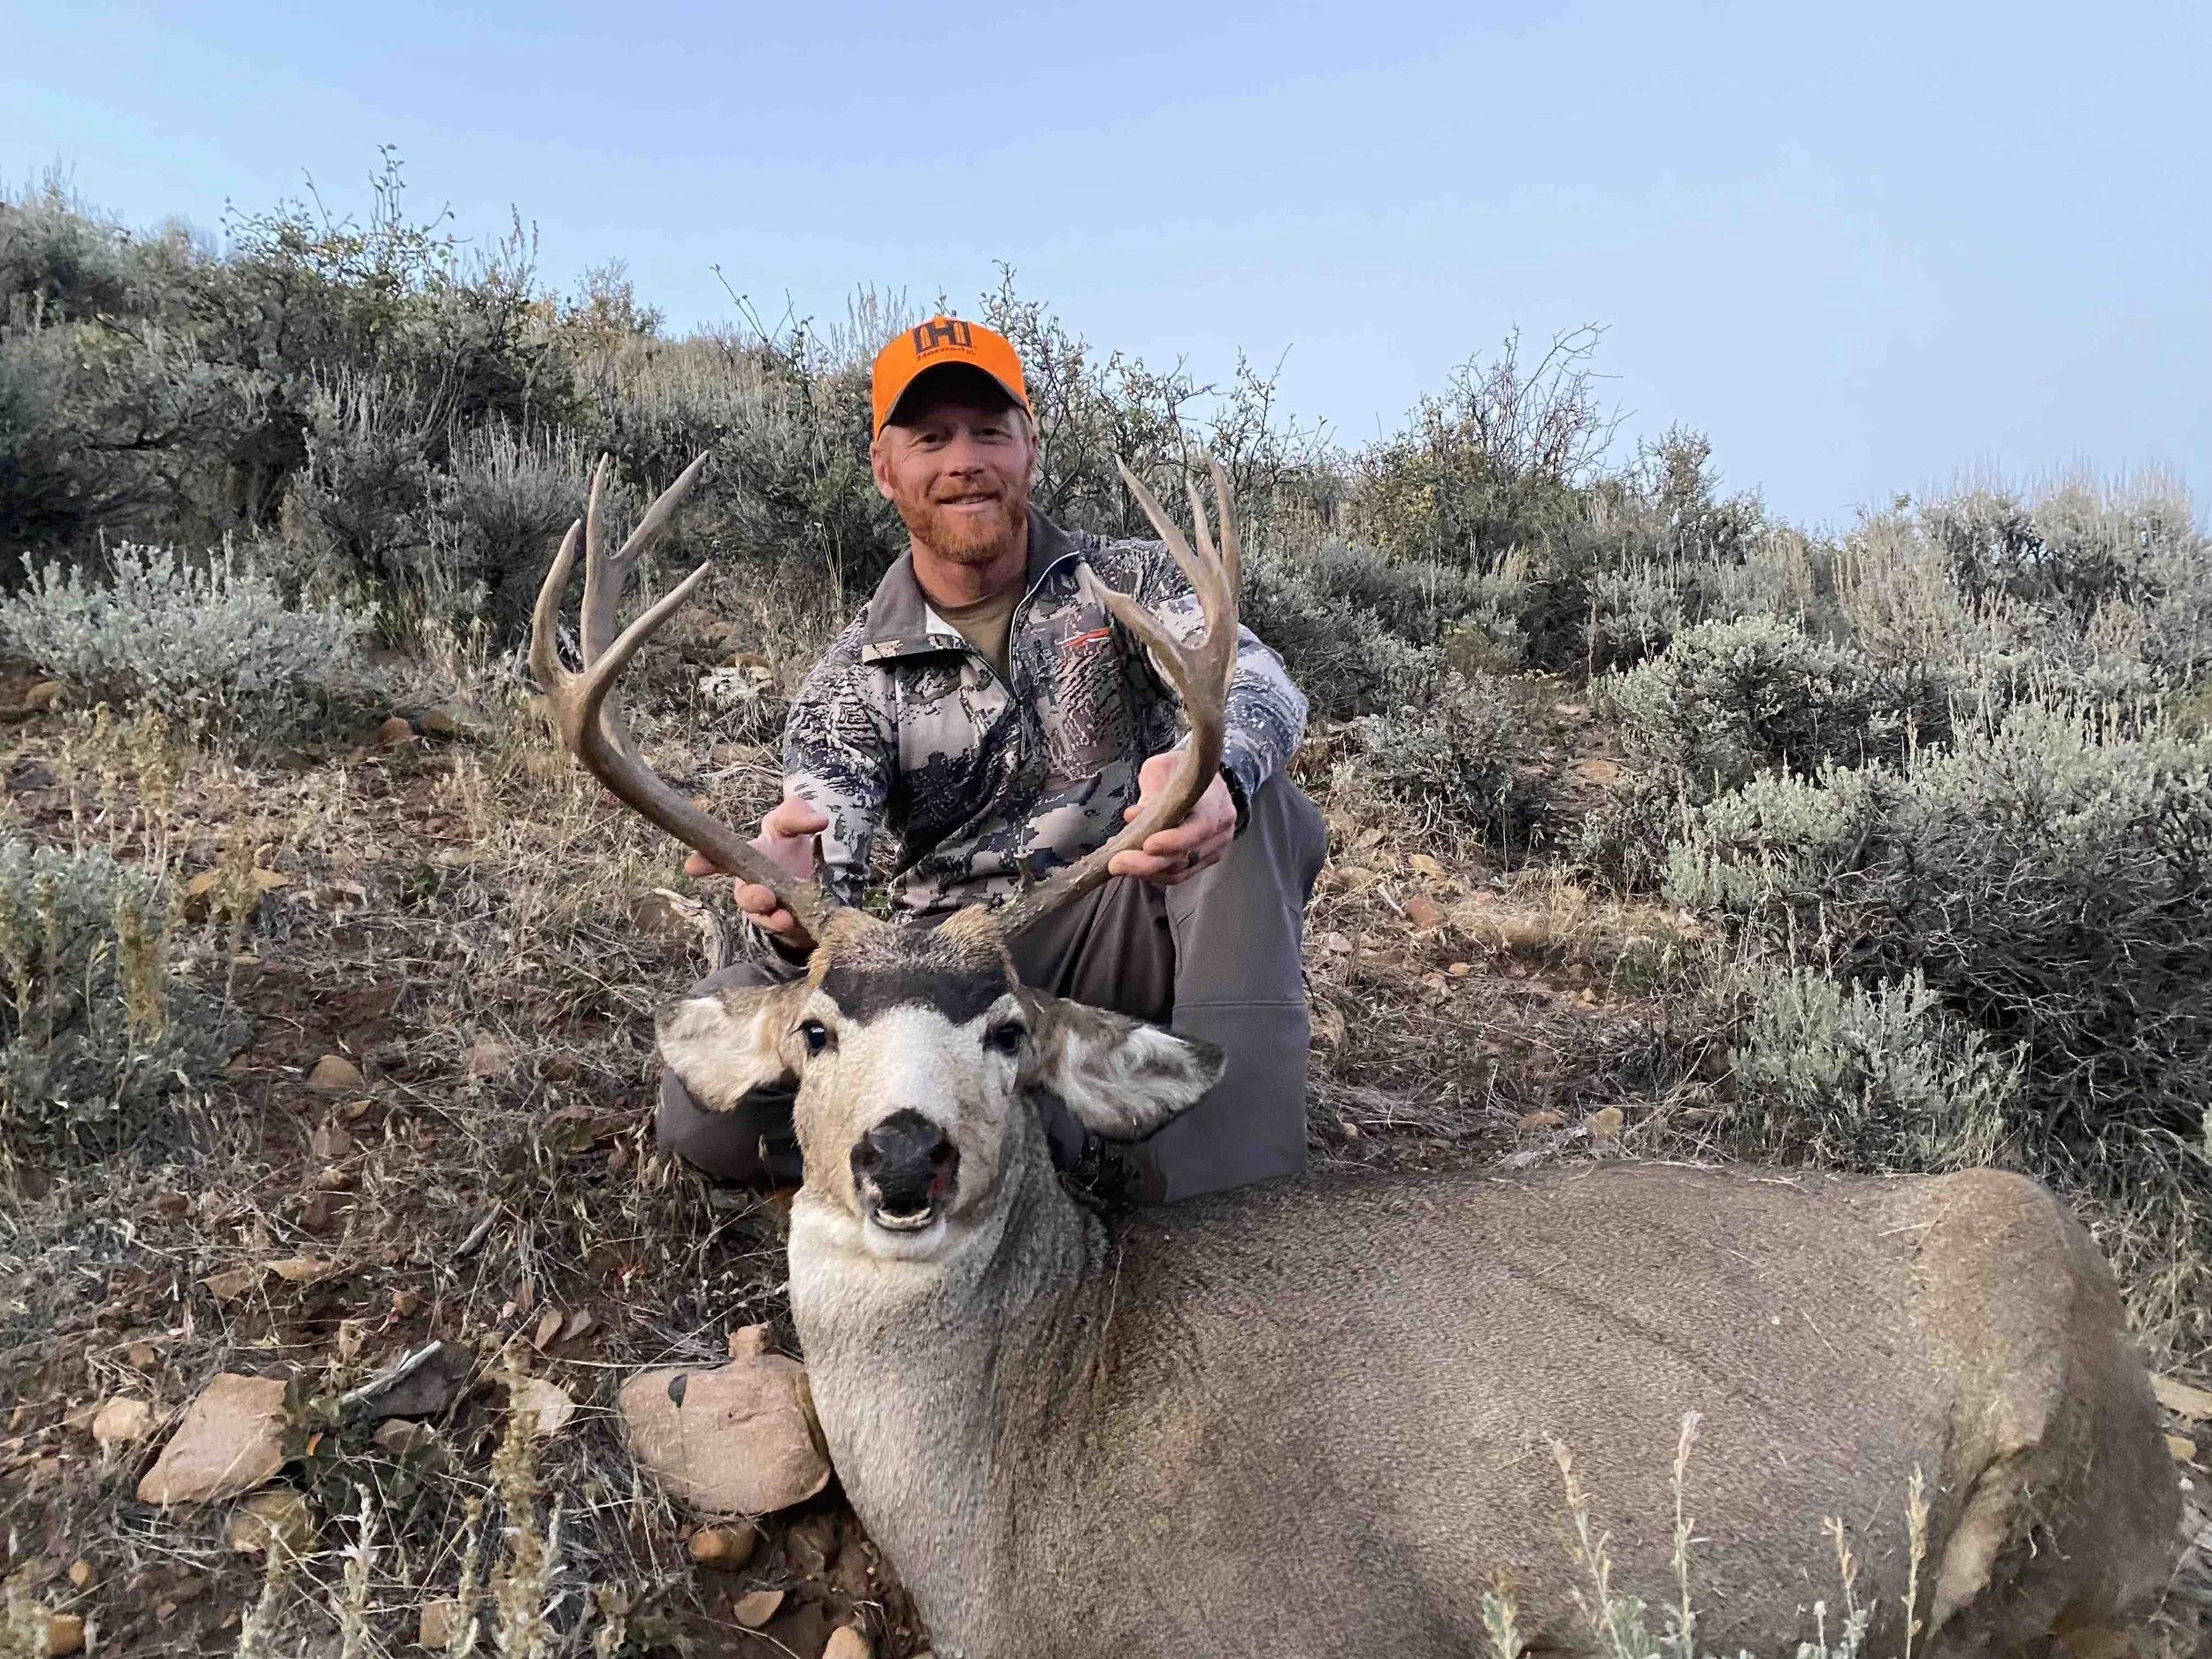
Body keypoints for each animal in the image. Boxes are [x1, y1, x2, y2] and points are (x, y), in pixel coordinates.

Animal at [532, 455, 2183, 1659]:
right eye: (816, 1029)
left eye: (1007, 1032)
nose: (903, 1155)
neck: (1028, 1474)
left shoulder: (1322, 1617)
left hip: (2040, 1481)